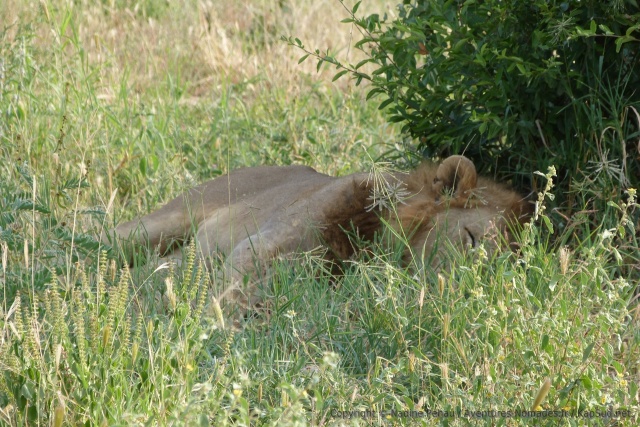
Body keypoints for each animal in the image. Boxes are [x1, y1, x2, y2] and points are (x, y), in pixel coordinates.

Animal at [110, 155, 530, 315]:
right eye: (471, 239)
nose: (461, 298)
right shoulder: (262, 243)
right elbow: (235, 287)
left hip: (178, 253)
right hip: (156, 225)